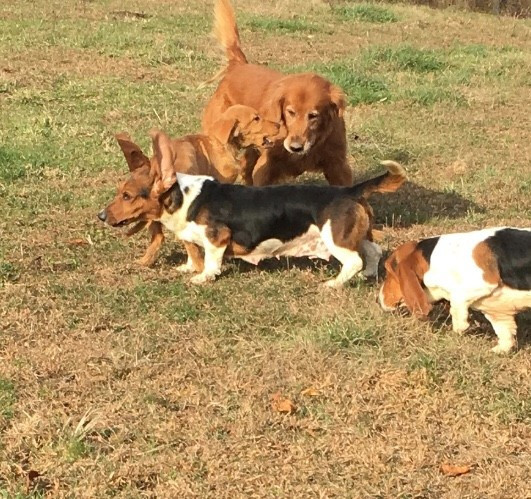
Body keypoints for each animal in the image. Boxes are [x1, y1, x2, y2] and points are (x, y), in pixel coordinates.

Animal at [202, 0, 352, 188]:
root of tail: (239, 65)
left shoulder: (338, 166)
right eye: (290, 112)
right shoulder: (266, 166)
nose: (296, 147)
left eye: (313, 115)